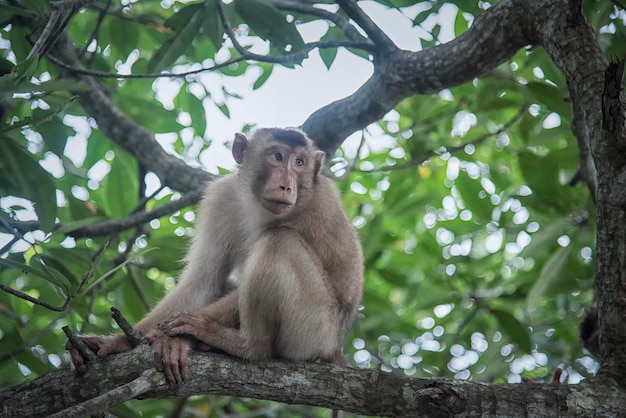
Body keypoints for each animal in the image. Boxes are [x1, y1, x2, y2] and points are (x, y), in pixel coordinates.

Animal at [66, 125, 364, 386]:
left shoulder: (316, 207)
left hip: (316, 329)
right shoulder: (222, 197)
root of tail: (335, 346)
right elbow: (203, 278)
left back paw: (247, 346)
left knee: (278, 242)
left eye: (300, 162)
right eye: (278, 157)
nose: (286, 186)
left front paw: (178, 339)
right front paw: (120, 340)